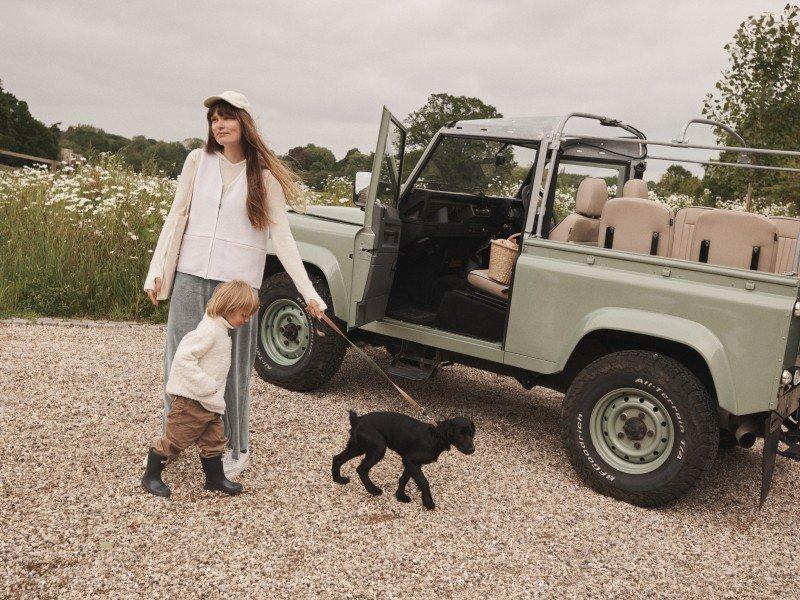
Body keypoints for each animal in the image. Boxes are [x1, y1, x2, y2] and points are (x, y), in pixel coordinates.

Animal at [332, 410, 476, 508]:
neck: (435, 437)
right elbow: (423, 481)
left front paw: (400, 496)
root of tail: (357, 419)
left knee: (337, 458)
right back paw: (373, 490)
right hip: (378, 448)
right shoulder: (411, 461)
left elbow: (404, 479)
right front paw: (428, 502)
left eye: (471, 433)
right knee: (361, 469)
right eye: (460, 434)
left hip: (358, 447)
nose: (472, 450)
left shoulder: (410, 462)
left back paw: (338, 479)